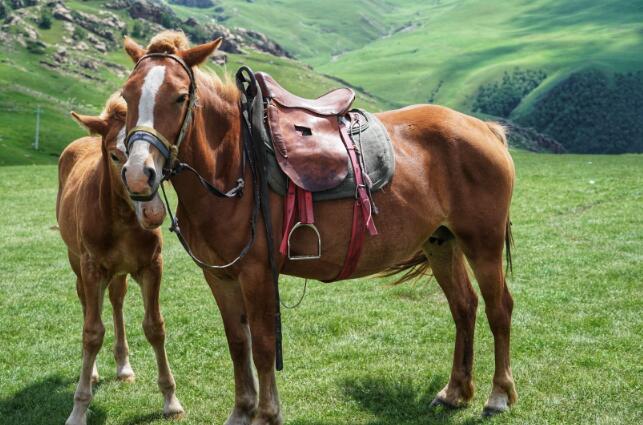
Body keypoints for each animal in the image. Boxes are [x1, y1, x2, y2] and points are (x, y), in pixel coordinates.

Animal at [56, 93, 185, 424]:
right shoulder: (91, 267)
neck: (124, 220)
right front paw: (78, 409)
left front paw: (170, 400)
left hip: (120, 271)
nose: (153, 212)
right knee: (88, 304)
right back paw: (92, 373)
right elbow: (91, 332)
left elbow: (154, 327)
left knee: (116, 300)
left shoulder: (152, 266)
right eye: (115, 156)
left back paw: (123, 367)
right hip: (76, 261)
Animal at [118, 31, 516, 422]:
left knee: (499, 308)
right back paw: (455, 392)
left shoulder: (257, 274)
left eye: (180, 96)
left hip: (483, 244)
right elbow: (238, 343)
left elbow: (263, 346)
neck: (233, 167)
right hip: (442, 243)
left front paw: (267, 413)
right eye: (126, 95)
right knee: (464, 306)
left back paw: (498, 395)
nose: (139, 174)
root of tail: (484, 128)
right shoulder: (219, 277)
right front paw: (242, 410)